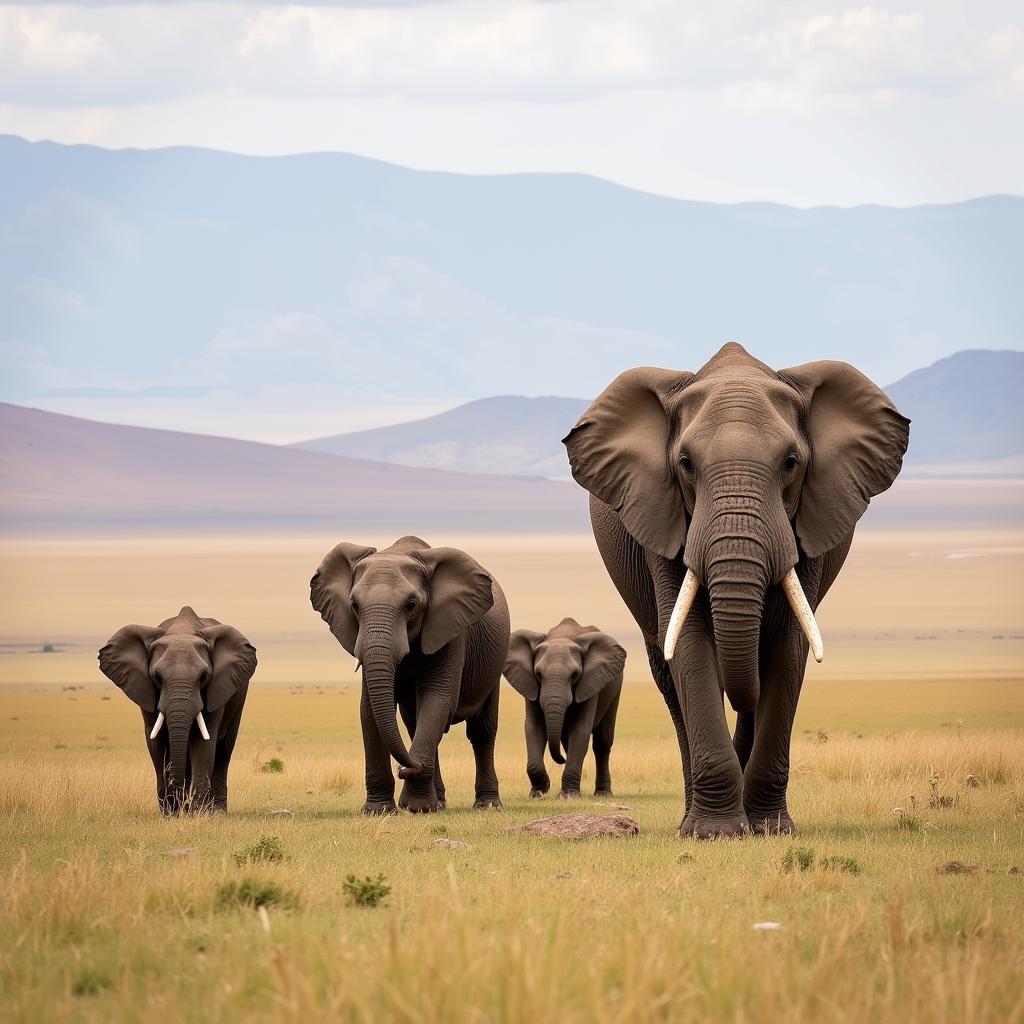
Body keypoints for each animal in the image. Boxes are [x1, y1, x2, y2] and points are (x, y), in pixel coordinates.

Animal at [97, 602, 256, 811]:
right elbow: (157, 741)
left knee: (223, 750)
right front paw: (171, 812)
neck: (182, 630)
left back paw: (217, 811)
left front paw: (198, 813)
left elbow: (204, 740)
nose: (181, 804)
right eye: (157, 676)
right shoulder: (145, 689)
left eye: (204, 676)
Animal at [307, 536, 507, 815]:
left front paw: (416, 807)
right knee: (415, 726)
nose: (404, 768)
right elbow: (369, 709)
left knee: (481, 732)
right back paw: (439, 803)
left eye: (411, 605)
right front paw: (378, 810)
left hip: (493, 667)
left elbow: (437, 699)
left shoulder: (451, 630)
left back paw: (487, 805)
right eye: (354, 605)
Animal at [501, 614, 622, 798]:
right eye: (538, 673)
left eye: (575, 674)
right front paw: (538, 793)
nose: (561, 760)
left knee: (602, 743)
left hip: (614, 688)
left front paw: (568, 796)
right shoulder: (530, 684)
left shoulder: (590, 682)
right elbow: (533, 726)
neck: (561, 636)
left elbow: (580, 729)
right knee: (567, 741)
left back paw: (603, 794)